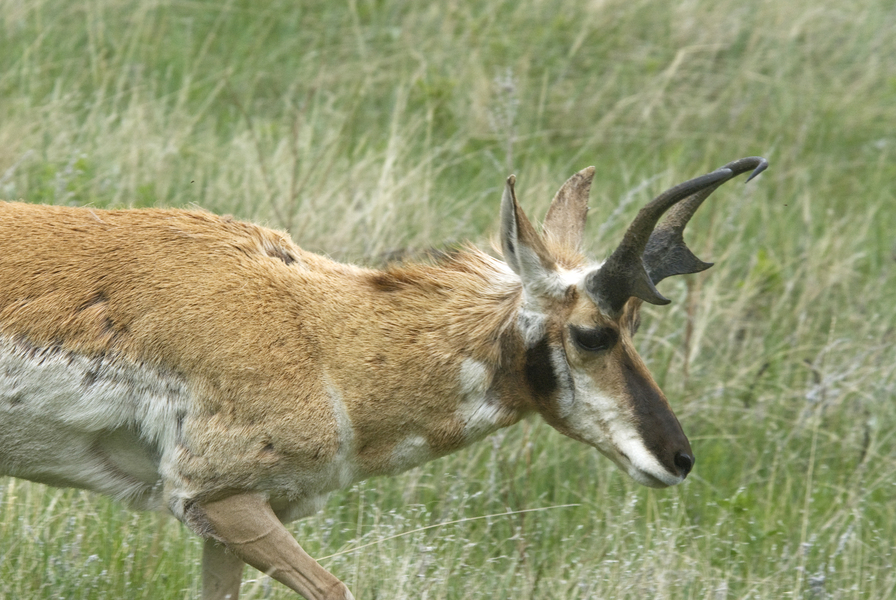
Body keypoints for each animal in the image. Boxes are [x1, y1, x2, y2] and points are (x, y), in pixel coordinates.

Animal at [1, 157, 764, 596]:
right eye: (590, 333)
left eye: (633, 323)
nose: (679, 458)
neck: (326, 334)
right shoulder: (220, 498)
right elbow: (337, 590)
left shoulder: (229, 517)